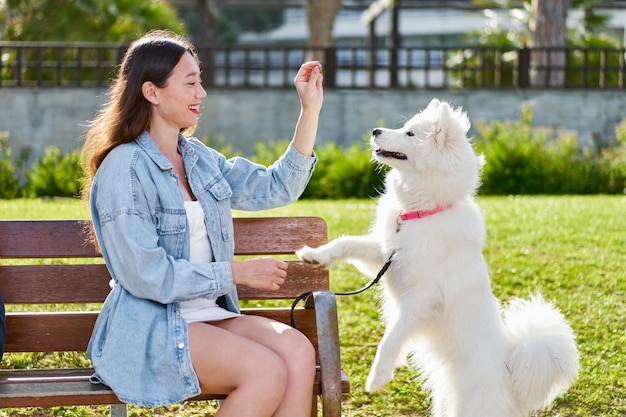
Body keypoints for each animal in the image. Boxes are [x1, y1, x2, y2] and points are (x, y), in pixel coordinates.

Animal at [294, 99, 576, 414]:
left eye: (410, 134)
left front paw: (378, 377)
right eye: (404, 128)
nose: (375, 130)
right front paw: (313, 256)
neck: (422, 213)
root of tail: (509, 378)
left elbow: (391, 337)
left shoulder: (421, 300)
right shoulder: (384, 255)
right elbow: (346, 243)